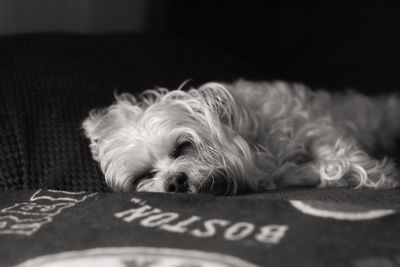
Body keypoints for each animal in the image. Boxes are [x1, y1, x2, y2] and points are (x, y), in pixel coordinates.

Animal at [82, 80, 400, 196]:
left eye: (183, 146)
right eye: (144, 176)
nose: (174, 182)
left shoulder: (315, 127)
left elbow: (336, 159)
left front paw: (381, 176)